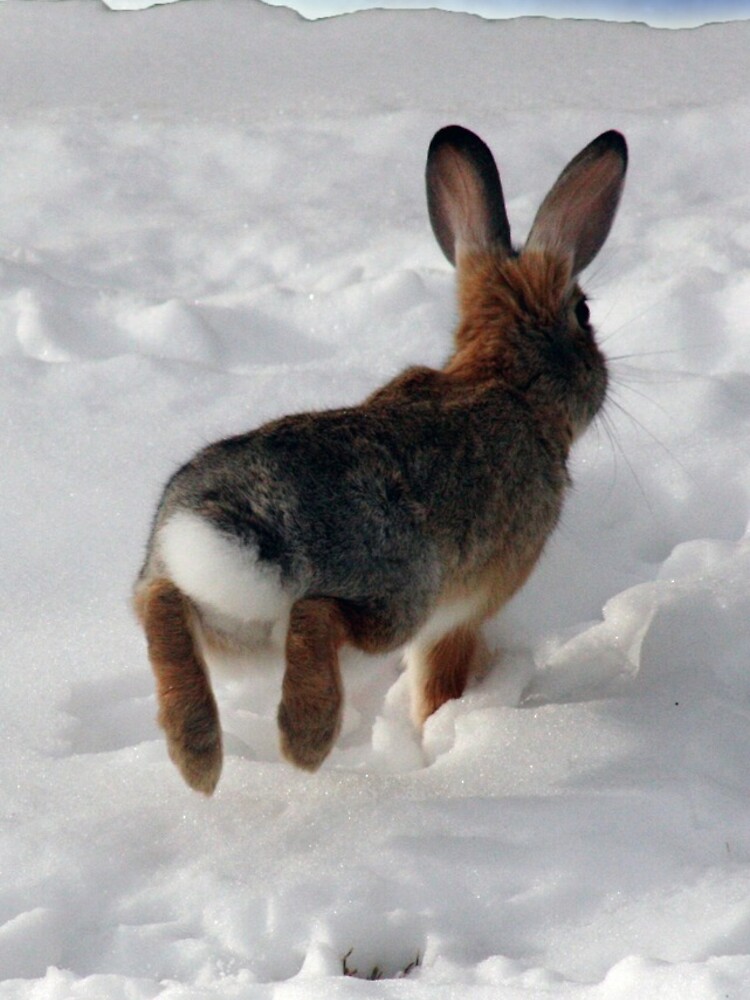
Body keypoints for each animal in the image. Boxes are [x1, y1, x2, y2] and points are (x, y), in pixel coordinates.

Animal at [134, 124, 627, 794]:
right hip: (399, 588)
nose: (603, 376)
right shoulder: (463, 610)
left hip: (216, 617)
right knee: (317, 614)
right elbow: (439, 677)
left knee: (158, 606)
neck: (505, 382)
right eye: (584, 313)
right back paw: (307, 738)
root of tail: (248, 519)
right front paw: (439, 729)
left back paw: (197, 754)